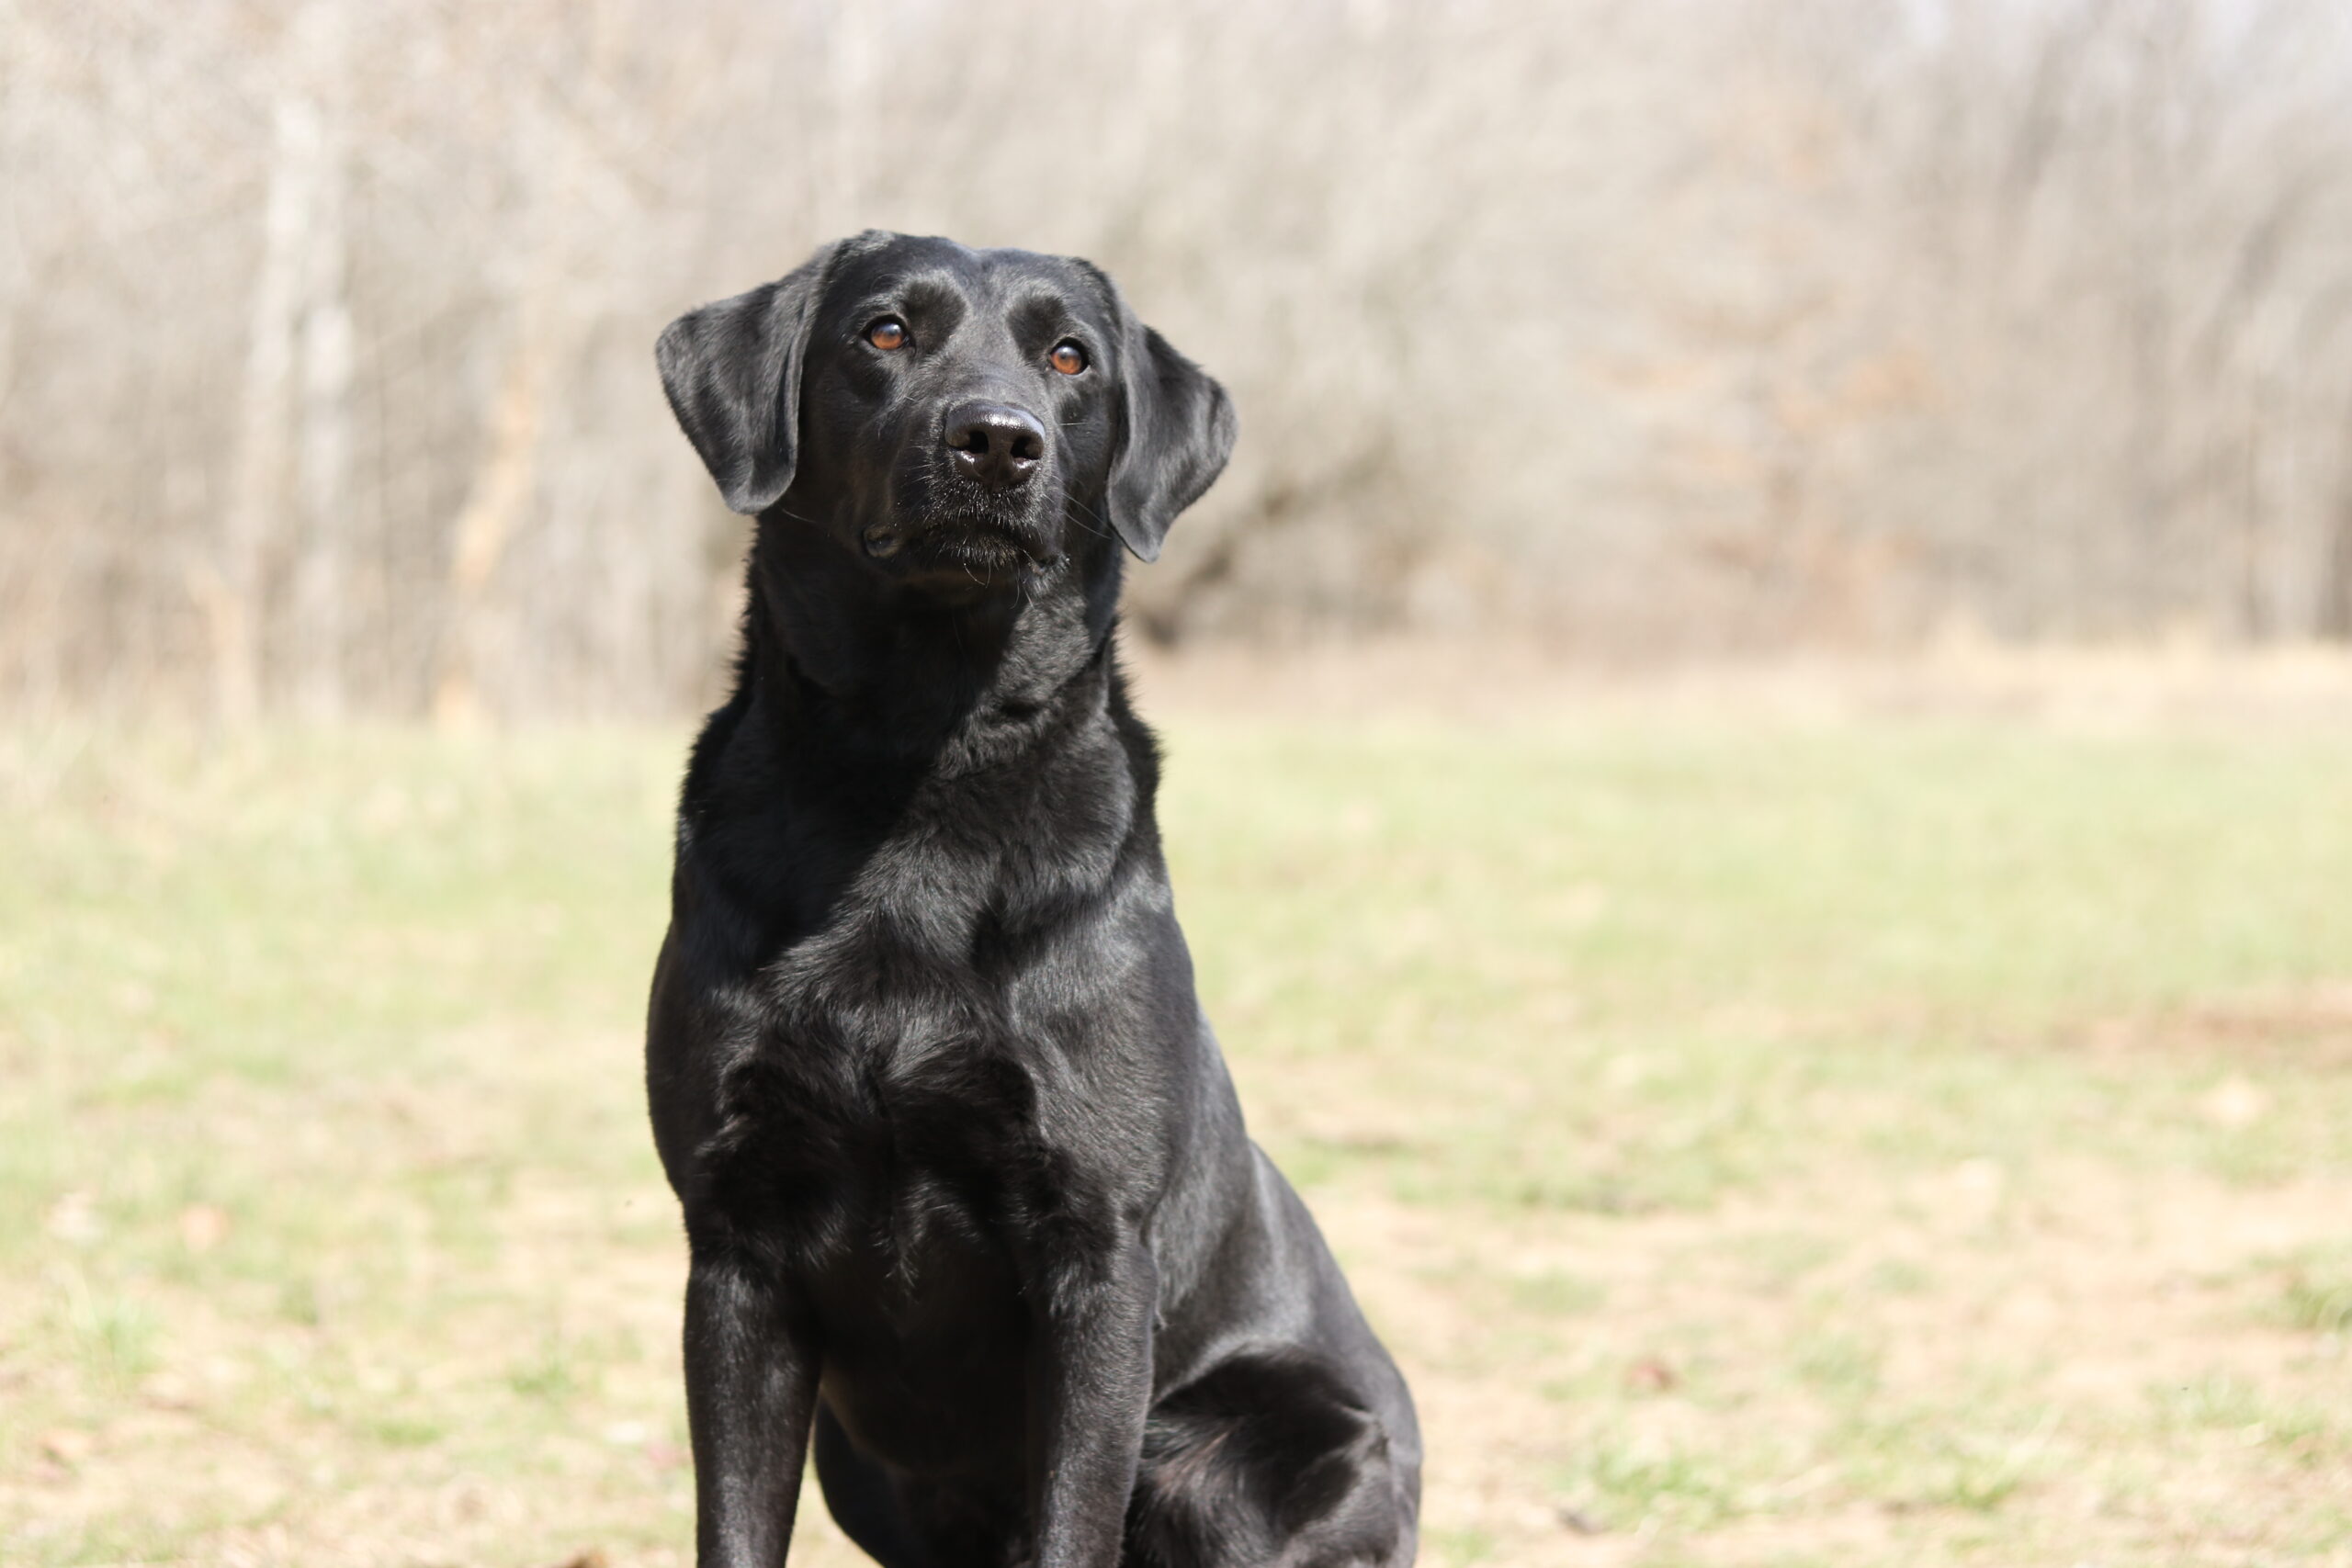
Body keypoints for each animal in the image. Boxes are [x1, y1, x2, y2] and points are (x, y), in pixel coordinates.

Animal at [646, 231, 1420, 1568]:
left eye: (1070, 357)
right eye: (884, 332)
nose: (997, 441)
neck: (919, 764)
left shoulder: (1095, 1254)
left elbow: (1073, 1519)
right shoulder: (734, 1245)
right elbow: (735, 1525)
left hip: (1262, 1457)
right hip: (861, 1460)